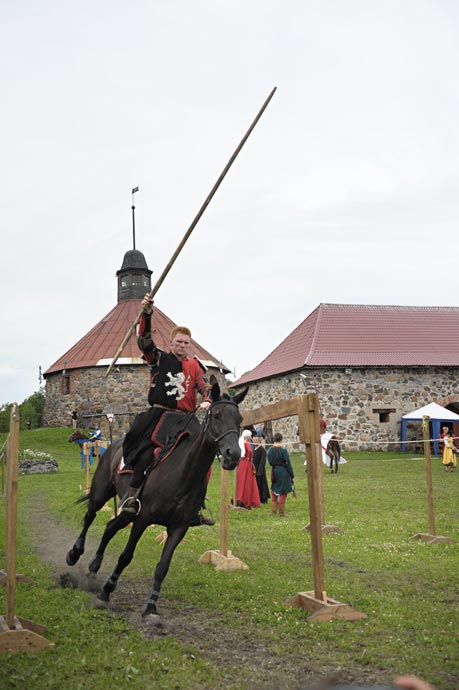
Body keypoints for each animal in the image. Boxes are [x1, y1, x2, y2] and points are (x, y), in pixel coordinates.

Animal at [65, 382, 248, 620]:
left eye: (239, 419)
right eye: (216, 415)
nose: (232, 454)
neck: (183, 474)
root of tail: (112, 445)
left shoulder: (179, 527)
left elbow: (163, 567)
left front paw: (151, 606)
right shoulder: (142, 519)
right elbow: (126, 556)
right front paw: (106, 591)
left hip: (126, 513)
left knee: (109, 527)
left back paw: (94, 567)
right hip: (102, 494)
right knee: (90, 515)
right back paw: (74, 554)